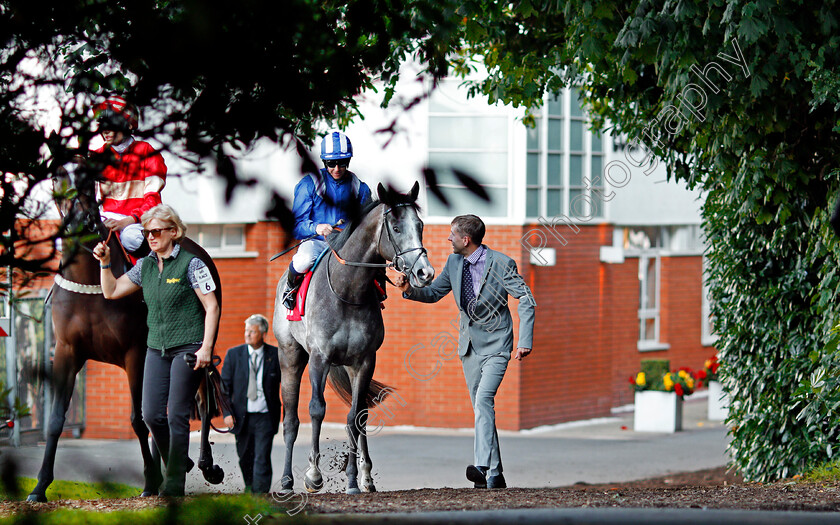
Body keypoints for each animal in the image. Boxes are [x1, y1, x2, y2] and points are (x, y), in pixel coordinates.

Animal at [26, 166, 225, 502]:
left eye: (86, 173)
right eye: (57, 175)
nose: (79, 219)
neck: (91, 282)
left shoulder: (136, 354)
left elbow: (139, 419)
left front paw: (153, 479)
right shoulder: (66, 351)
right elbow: (55, 419)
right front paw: (39, 487)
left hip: (195, 349)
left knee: (203, 400)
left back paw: (204, 465)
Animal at [274, 182, 434, 494]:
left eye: (420, 225)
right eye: (396, 227)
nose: (425, 272)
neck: (347, 290)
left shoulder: (364, 361)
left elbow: (355, 417)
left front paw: (352, 479)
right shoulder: (319, 358)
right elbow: (316, 410)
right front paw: (313, 474)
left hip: (348, 366)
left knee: (359, 413)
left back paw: (366, 477)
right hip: (290, 357)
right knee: (290, 420)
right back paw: (286, 481)